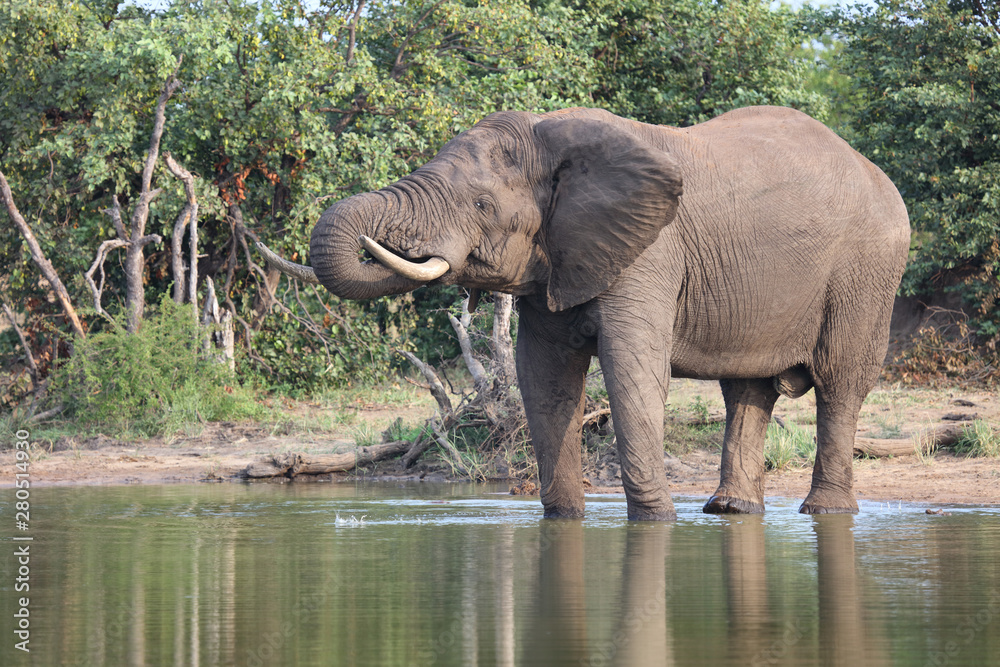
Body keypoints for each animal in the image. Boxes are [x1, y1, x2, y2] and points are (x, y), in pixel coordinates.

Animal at [261, 105, 910, 520]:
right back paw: (730, 510)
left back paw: (824, 512)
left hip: (868, 270)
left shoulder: (650, 253)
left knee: (841, 384)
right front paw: (563, 519)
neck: (553, 139)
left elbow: (631, 371)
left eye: (482, 204)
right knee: (746, 390)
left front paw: (655, 524)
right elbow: (543, 377)